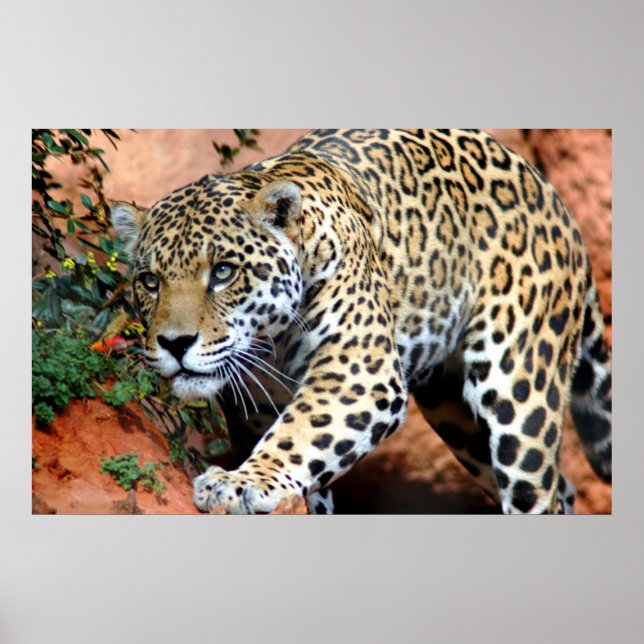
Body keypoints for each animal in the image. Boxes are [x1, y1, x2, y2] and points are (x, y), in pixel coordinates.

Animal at [111, 129, 612, 514]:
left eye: (223, 272)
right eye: (150, 281)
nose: (175, 343)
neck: (269, 346)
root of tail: (552, 195)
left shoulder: (357, 374)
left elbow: (296, 435)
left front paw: (240, 482)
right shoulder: (256, 408)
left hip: (519, 388)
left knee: (535, 487)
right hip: (457, 418)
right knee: (562, 488)